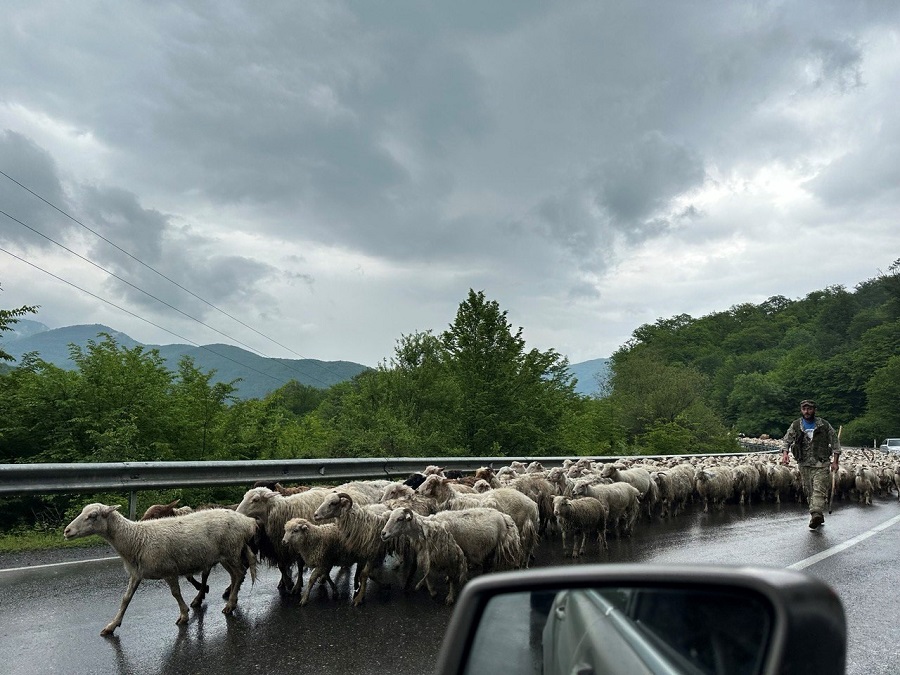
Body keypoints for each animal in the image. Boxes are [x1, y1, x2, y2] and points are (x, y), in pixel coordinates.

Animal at [62, 502, 256, 640]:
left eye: (92, 516)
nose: (67, 531)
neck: (135, 539)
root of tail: (247, 521)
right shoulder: (136, 574)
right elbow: (126, 599)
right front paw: (112, 625)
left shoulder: (169, 570)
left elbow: (176, 593)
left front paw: (184, 615)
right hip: (225, 555)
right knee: (236, 576)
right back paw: (230, 599)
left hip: (230, 551)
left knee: (239, 573)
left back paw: (230, 604)